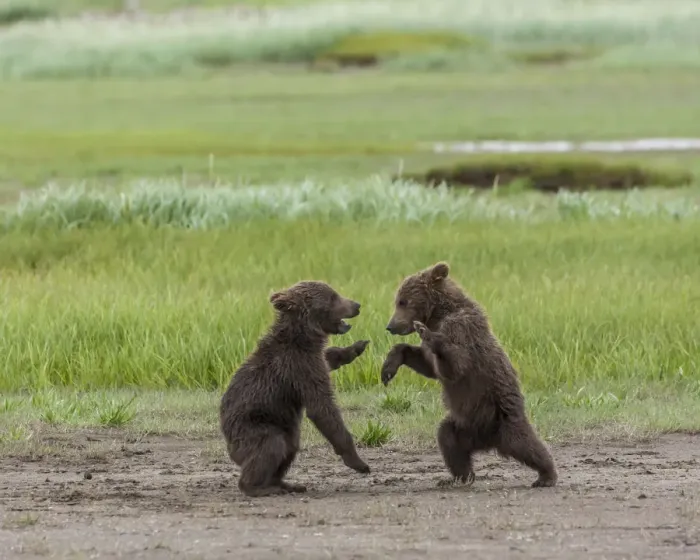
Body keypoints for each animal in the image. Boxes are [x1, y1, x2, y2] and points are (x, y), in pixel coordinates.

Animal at [220, 280, 371, 498]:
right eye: (333, 297)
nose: (356, 305)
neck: (302, 337)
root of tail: (231, 451)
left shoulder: (311, 359)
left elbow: (328, 358)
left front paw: (356, 347)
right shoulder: (299, 368)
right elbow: (322, 409)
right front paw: (359, 463)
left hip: (282, 427)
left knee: (290, 448)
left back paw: (287, 484)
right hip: (253, 428)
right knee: (271, 447)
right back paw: (260, 487)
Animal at [380, 262, 557, 488]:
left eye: (403, 301)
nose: (390, 326)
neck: (439, 313)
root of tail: (490, 442)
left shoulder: (460, 329)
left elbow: (456, 365)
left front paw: (431, 336)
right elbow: (429, 366)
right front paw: (388, 369)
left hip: (504, 421)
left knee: (527, 445)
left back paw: (546, 475)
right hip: (466, 426)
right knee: (448, 440)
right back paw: (459, 477)